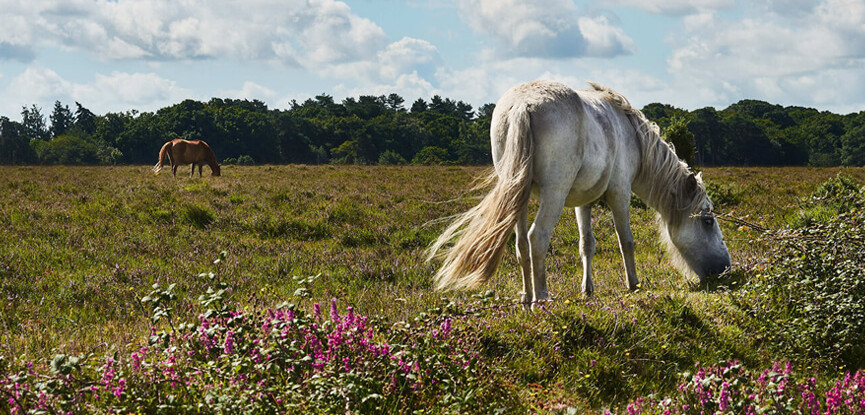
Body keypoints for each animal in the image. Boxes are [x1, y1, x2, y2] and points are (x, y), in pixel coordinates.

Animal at [426, 81, 728, 308]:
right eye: (707, 221)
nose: (725, 268)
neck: (632, 135)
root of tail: (522, 105)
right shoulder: (620, 193)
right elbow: (626, 241)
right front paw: (633, 284)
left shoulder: (583, 203)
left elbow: (586, 245)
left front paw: (587, 289)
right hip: (554, 194)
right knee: (537, 237)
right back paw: (541, 298)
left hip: (518, 195)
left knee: (522, 244)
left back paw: (526, 297)